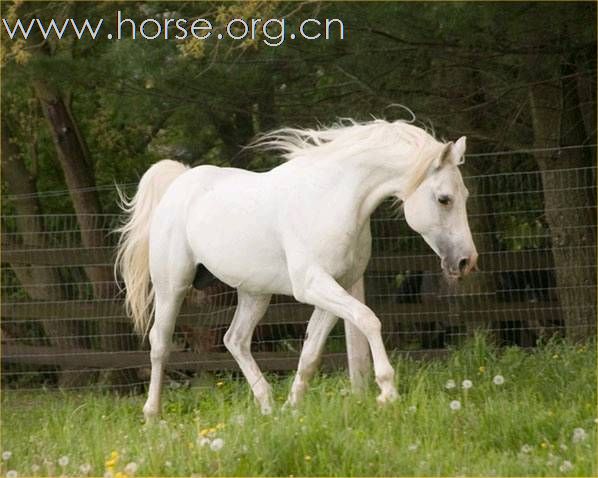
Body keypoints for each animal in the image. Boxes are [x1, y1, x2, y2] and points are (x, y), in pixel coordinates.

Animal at [116, 118, 478, 418]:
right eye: (444, 199)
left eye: (465, 196)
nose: (466, 261)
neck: (331, 200)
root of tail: (179, 183)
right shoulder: (313, 285)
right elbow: (368, 319)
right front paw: (387, 392)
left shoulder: (335, 289)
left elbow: (311, 353)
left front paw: (293, 409)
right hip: (172, 286)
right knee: (160, 344)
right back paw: (153, 416)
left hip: (254, 292)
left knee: (236, 340)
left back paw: (267, 407)